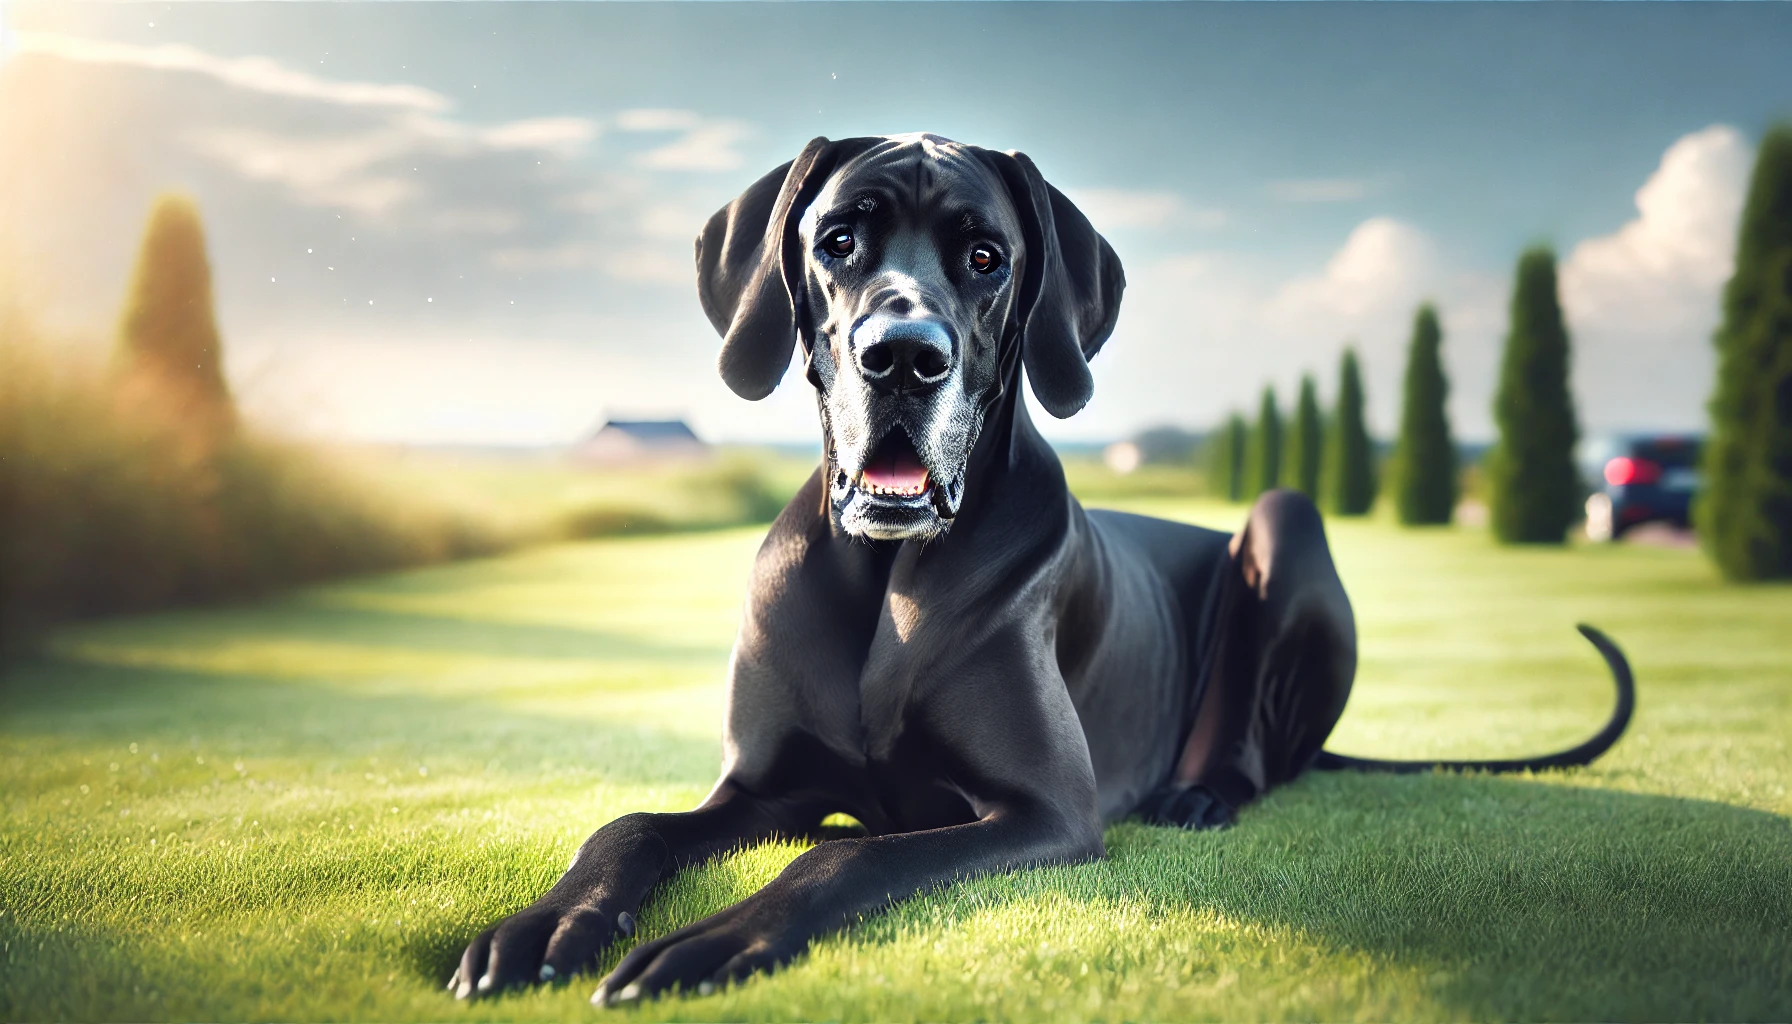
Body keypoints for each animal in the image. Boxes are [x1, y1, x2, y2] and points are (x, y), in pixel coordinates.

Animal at [444, 131, 1627, 1004]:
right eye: (838, 239)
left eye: (985, 256)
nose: (903, 357)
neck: (885, 580)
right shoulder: (758, 786)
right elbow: (632, 824)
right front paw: (544, 925)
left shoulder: (1045, 811)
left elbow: (842, 855)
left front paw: (715, 941)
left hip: (1284, 524)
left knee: (1257, 742)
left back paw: (1201, 792)